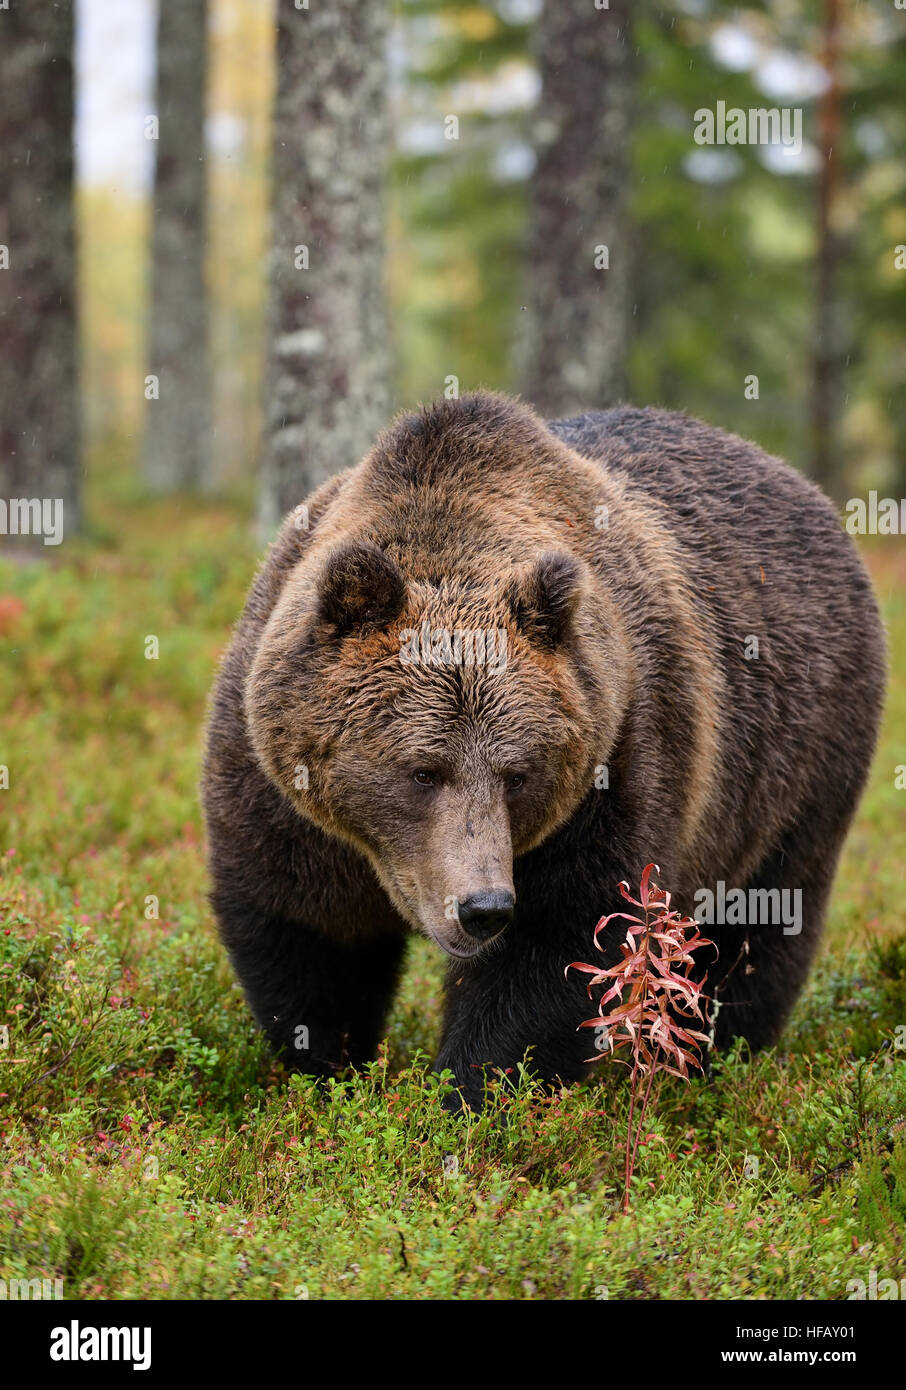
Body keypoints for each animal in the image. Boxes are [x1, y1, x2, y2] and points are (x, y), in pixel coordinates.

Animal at [201, 391, 886, 1110]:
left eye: (517, 774)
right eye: (422, 771)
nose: (482, 908)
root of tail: (805, 490)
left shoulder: (620, 747)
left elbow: (559, 946)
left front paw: (469, 1093)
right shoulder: (279, 775)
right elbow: (310, 928)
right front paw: (330, 1073)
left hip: (795, 763)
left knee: (754, 930)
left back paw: (715, 1060)